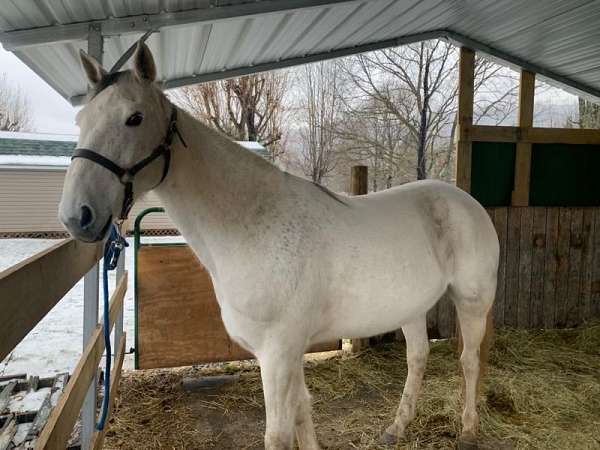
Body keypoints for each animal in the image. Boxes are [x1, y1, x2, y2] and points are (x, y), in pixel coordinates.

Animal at [61, 41, 500, 446]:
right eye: (80, 119)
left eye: (134, 118)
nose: (76, 216)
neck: (253, 222)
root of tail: (466, 202)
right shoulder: (288, 353)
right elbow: (303, 412)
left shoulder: (277, 353)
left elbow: (278, 434)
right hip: (409, 306)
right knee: (418, 358)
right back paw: (396, 428)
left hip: (472, 301)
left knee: (469, 360)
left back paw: (468, 430)